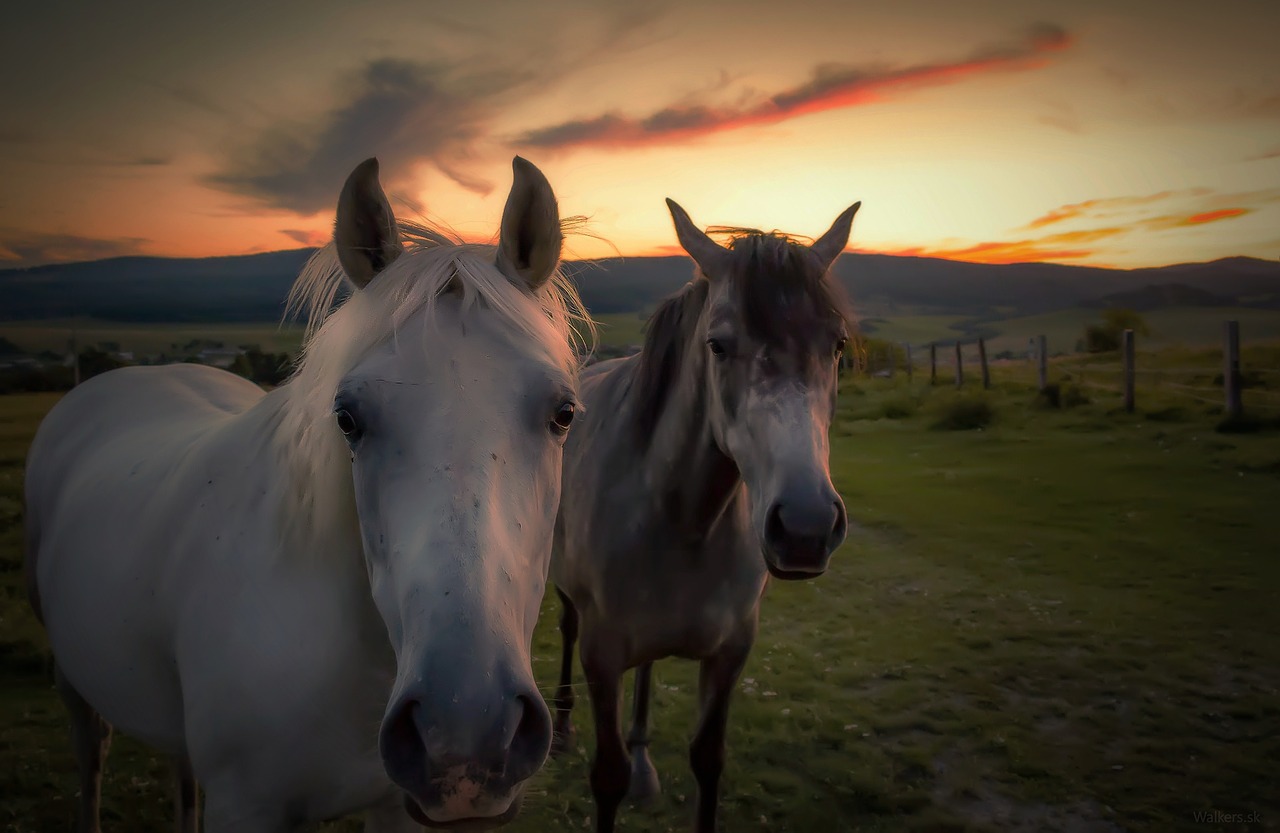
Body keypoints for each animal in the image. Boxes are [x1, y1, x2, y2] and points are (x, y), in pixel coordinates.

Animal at [24, 158, 586, 833]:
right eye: (347, 418)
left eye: (563, 413)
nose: (467, 730)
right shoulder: (246, 806)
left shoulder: (396, 809)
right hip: (74, 682)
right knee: (93, 754)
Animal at [550, 197, 860, 833]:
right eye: (717, 345)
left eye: (837, 345)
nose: (806, 529)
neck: (682, 518)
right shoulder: (602, 654)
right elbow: (607, 775)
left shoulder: (731, 650)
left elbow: (708, 759)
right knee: (565, 629)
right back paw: (563, 727)